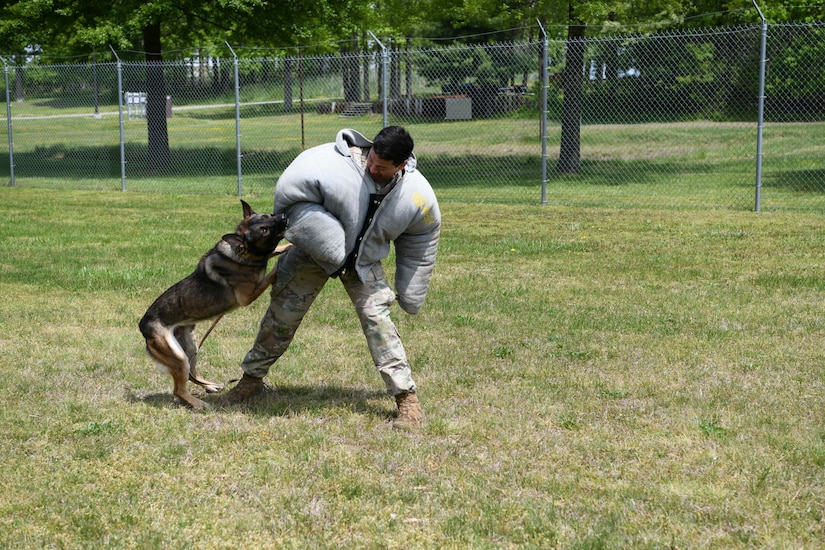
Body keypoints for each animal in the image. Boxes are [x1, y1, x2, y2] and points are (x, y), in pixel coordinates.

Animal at [137, 202, 288, 410]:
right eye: (264, 230)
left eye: (269, 215)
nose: (283, 216)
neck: (241, 253)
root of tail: (142, 324)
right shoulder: (247, 296)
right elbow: (272, 271)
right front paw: (285, 255)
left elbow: (277, 249)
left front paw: (287, 246)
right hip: (178, 357)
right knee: (178, 390)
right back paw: (201, 404)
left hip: (190, 349)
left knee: (191, 376)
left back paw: (211, 386)